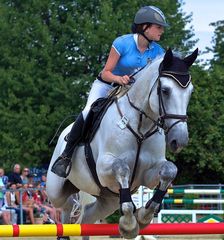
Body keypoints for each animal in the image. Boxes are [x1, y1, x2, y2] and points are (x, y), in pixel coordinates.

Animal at [46, 47, 198, 239]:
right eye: (165, 90)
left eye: (190, 92)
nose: (180, 140)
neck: (140, 126)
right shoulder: (103, 167)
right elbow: (121, 168)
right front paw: (129, 225)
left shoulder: (148, 173)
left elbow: (169, 170)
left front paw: (143, 216)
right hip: (56, 190)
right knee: (66, 207)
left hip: (107, 199)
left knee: (87, 217)